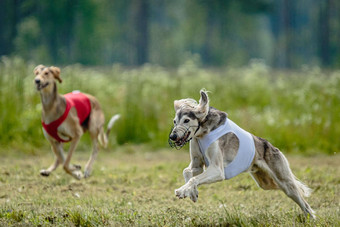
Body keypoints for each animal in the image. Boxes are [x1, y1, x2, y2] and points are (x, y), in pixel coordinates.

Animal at [169, 89, 314, 218]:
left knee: (304, 203)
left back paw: (311, 217)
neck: (202, 133)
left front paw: (182, 191)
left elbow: (194, 178)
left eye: (186, 120)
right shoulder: (198, 165)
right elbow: (187, 172)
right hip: (266, 182)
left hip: (284, 182)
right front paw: (191, 193)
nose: (172, 136)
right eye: (175, 121)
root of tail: (272, 147)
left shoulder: (217, 170)